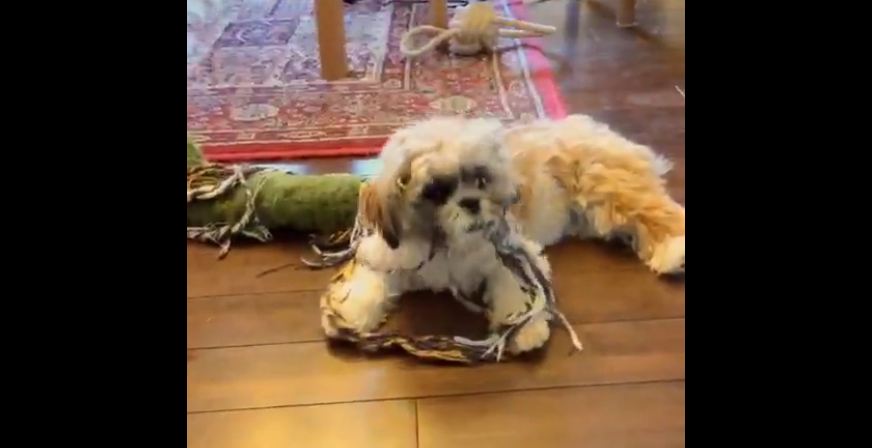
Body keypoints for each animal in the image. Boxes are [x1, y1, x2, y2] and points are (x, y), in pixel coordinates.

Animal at [324, 114, 684, 356]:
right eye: (435, 191)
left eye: (481, 180)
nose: (470, 202)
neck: (446, 245)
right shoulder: (392, 253)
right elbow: (370, 280)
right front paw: (349, 313)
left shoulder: (511, 251)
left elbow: (517, 285)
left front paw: (524, 328)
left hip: (609, 189)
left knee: (657, 214)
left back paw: (675, 252)